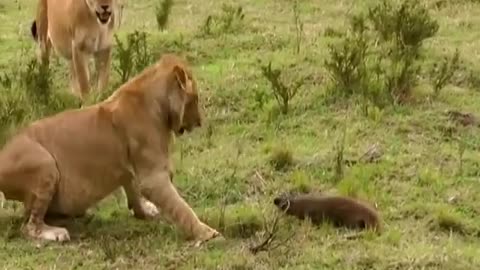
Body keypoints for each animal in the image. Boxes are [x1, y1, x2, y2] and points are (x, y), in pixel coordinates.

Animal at [0, 53, 222, 245]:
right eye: (195, 98)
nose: (199, 122)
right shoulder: (154, 179)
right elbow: (181, 208)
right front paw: (208, 233)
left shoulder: (130, 170)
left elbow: (133, 189)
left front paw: (143, 211)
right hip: (44, 165)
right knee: (29, 225)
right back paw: (55, 232)